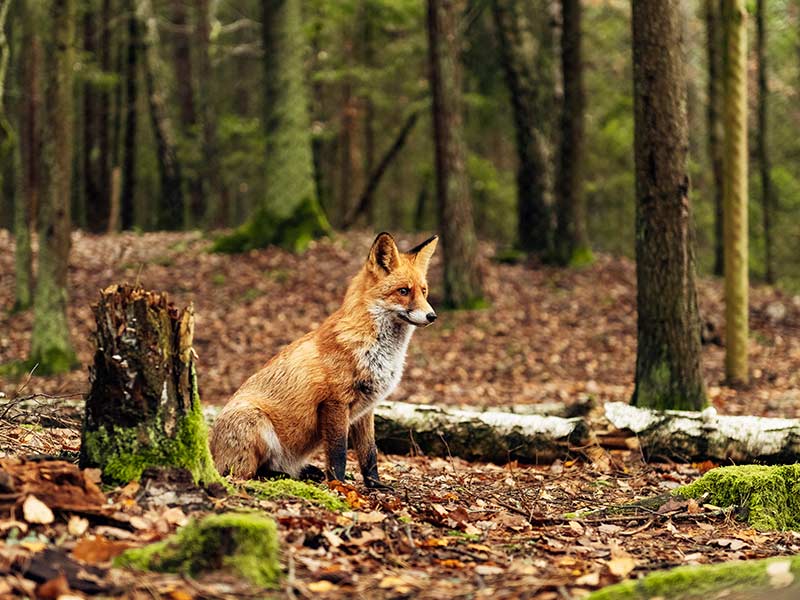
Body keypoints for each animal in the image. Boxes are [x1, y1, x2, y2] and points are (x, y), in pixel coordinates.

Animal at [209, 232, 438, 488]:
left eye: (424, 291)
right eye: (403, 291)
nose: (432, 316)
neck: (378, 352)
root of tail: (211, 453)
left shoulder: (367, 408)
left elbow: (369, 452)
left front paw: (375, 485)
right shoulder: (334, 402)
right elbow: (338, 453)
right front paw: (339, 485)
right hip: (254, 422)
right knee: (244, 473)